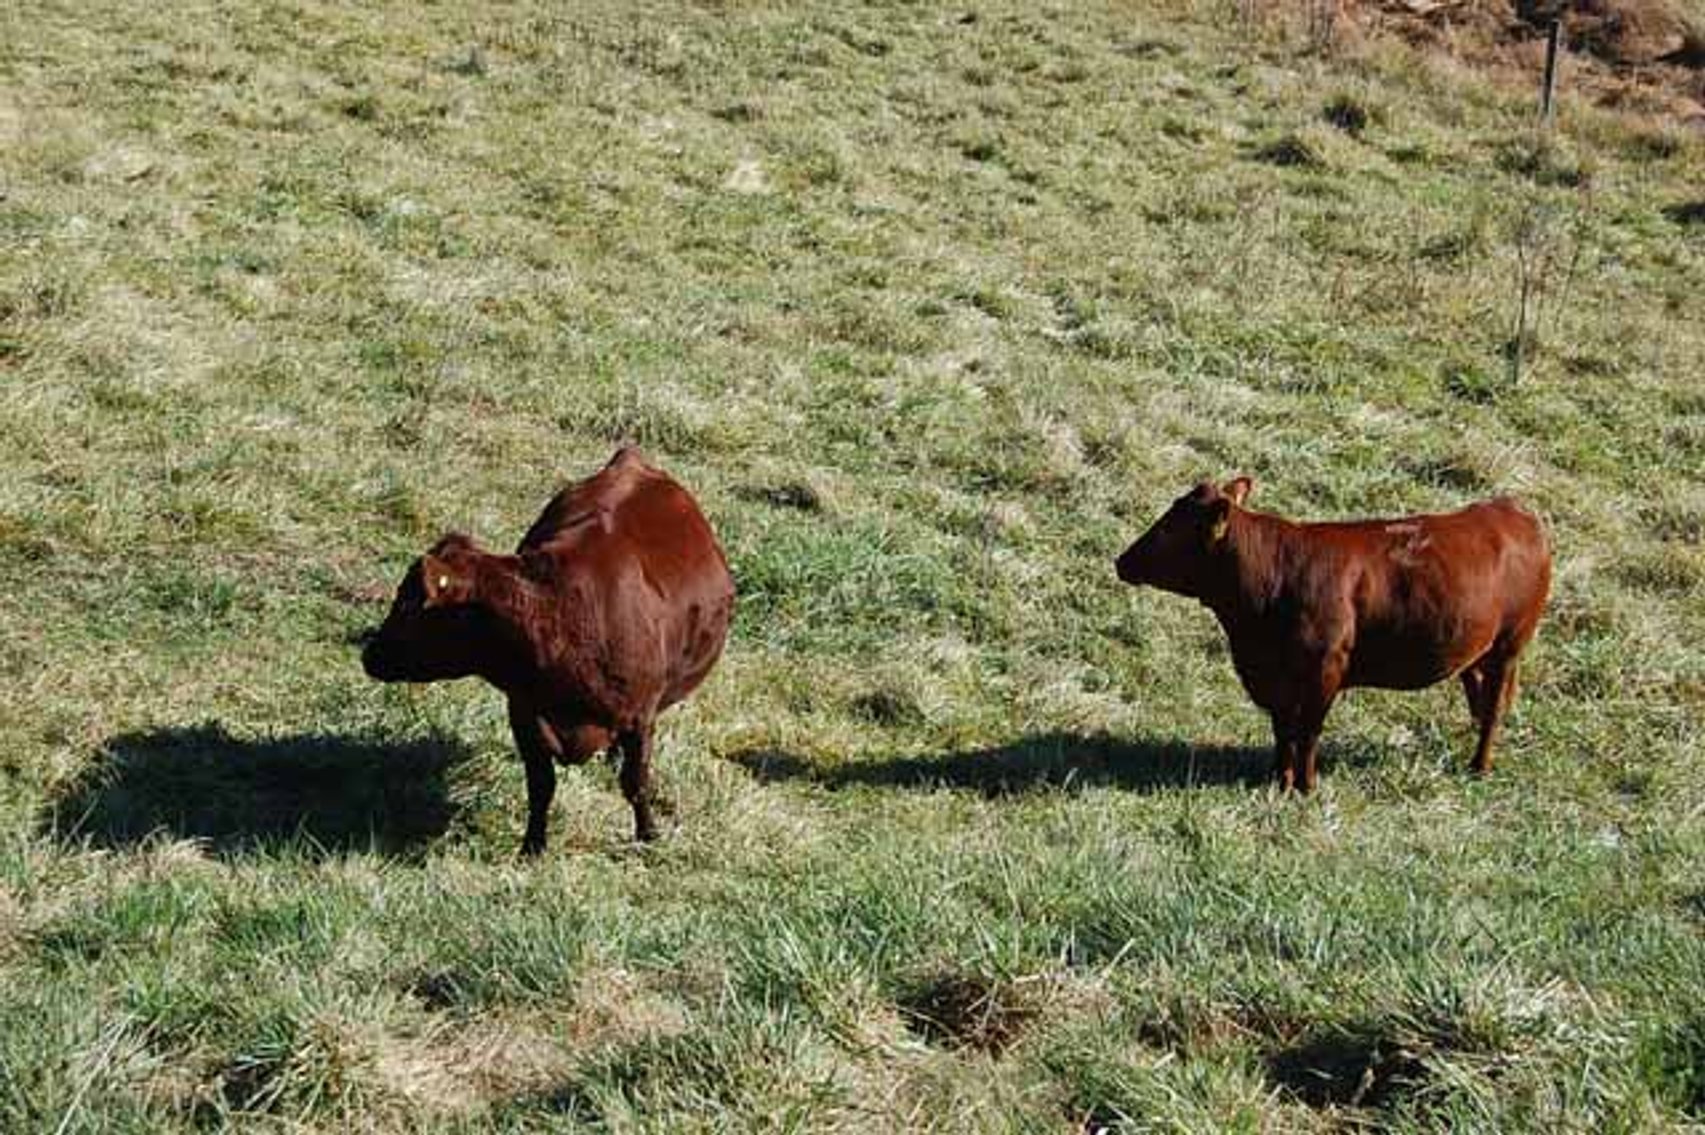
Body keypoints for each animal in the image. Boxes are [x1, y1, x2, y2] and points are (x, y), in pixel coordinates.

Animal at [361, 447, 735, 855]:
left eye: (409, 604)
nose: (370, 655)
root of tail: (630, 460)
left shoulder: (639, 715)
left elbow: (635, 783)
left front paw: (648, 836)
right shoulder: (524, 714)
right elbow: (541, 787)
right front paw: (532, 846)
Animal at [1115, 478, 1550, 792]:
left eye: (1172, 529)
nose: (1122, 560)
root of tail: (1514, 510)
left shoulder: (1324, 670)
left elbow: (1307, 731)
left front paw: (1306, 787)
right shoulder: (1273, 678)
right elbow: (1283, 730)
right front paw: (1280, 781)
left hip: (1510, 644)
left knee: (1493, 707)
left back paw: (1479, 766)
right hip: (1475, 648)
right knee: (1480, 696)